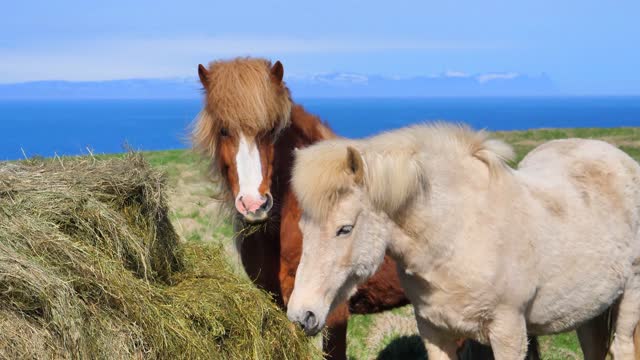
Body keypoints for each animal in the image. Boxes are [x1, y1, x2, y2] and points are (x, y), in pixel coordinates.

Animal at [288, 123, 640, 358]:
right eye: (303, 227)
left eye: (344, 229)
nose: (301, 316)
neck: (458, 234)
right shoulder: (435, 331)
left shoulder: (509, 332)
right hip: (590, 311)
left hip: (630, 295)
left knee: (622, 346)